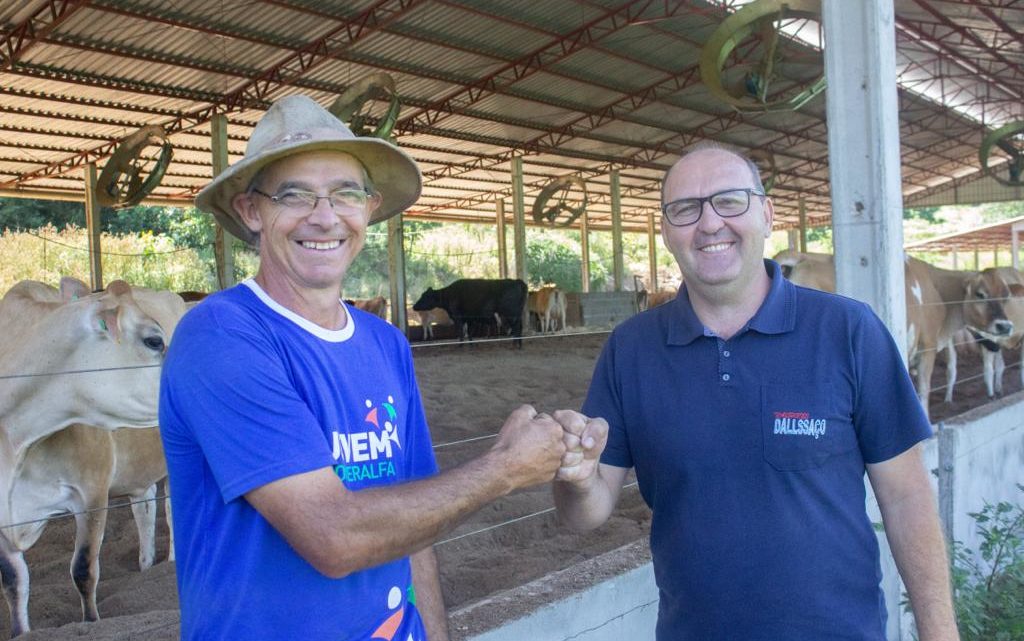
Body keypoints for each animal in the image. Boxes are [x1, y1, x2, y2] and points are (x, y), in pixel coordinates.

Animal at [0, 276, 186, 634]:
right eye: (154, 341)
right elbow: (13, 580)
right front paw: (20, 633)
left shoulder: (92, 491)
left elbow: (84, 569)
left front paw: (91, 623)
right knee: (145, 507)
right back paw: (146, 567)